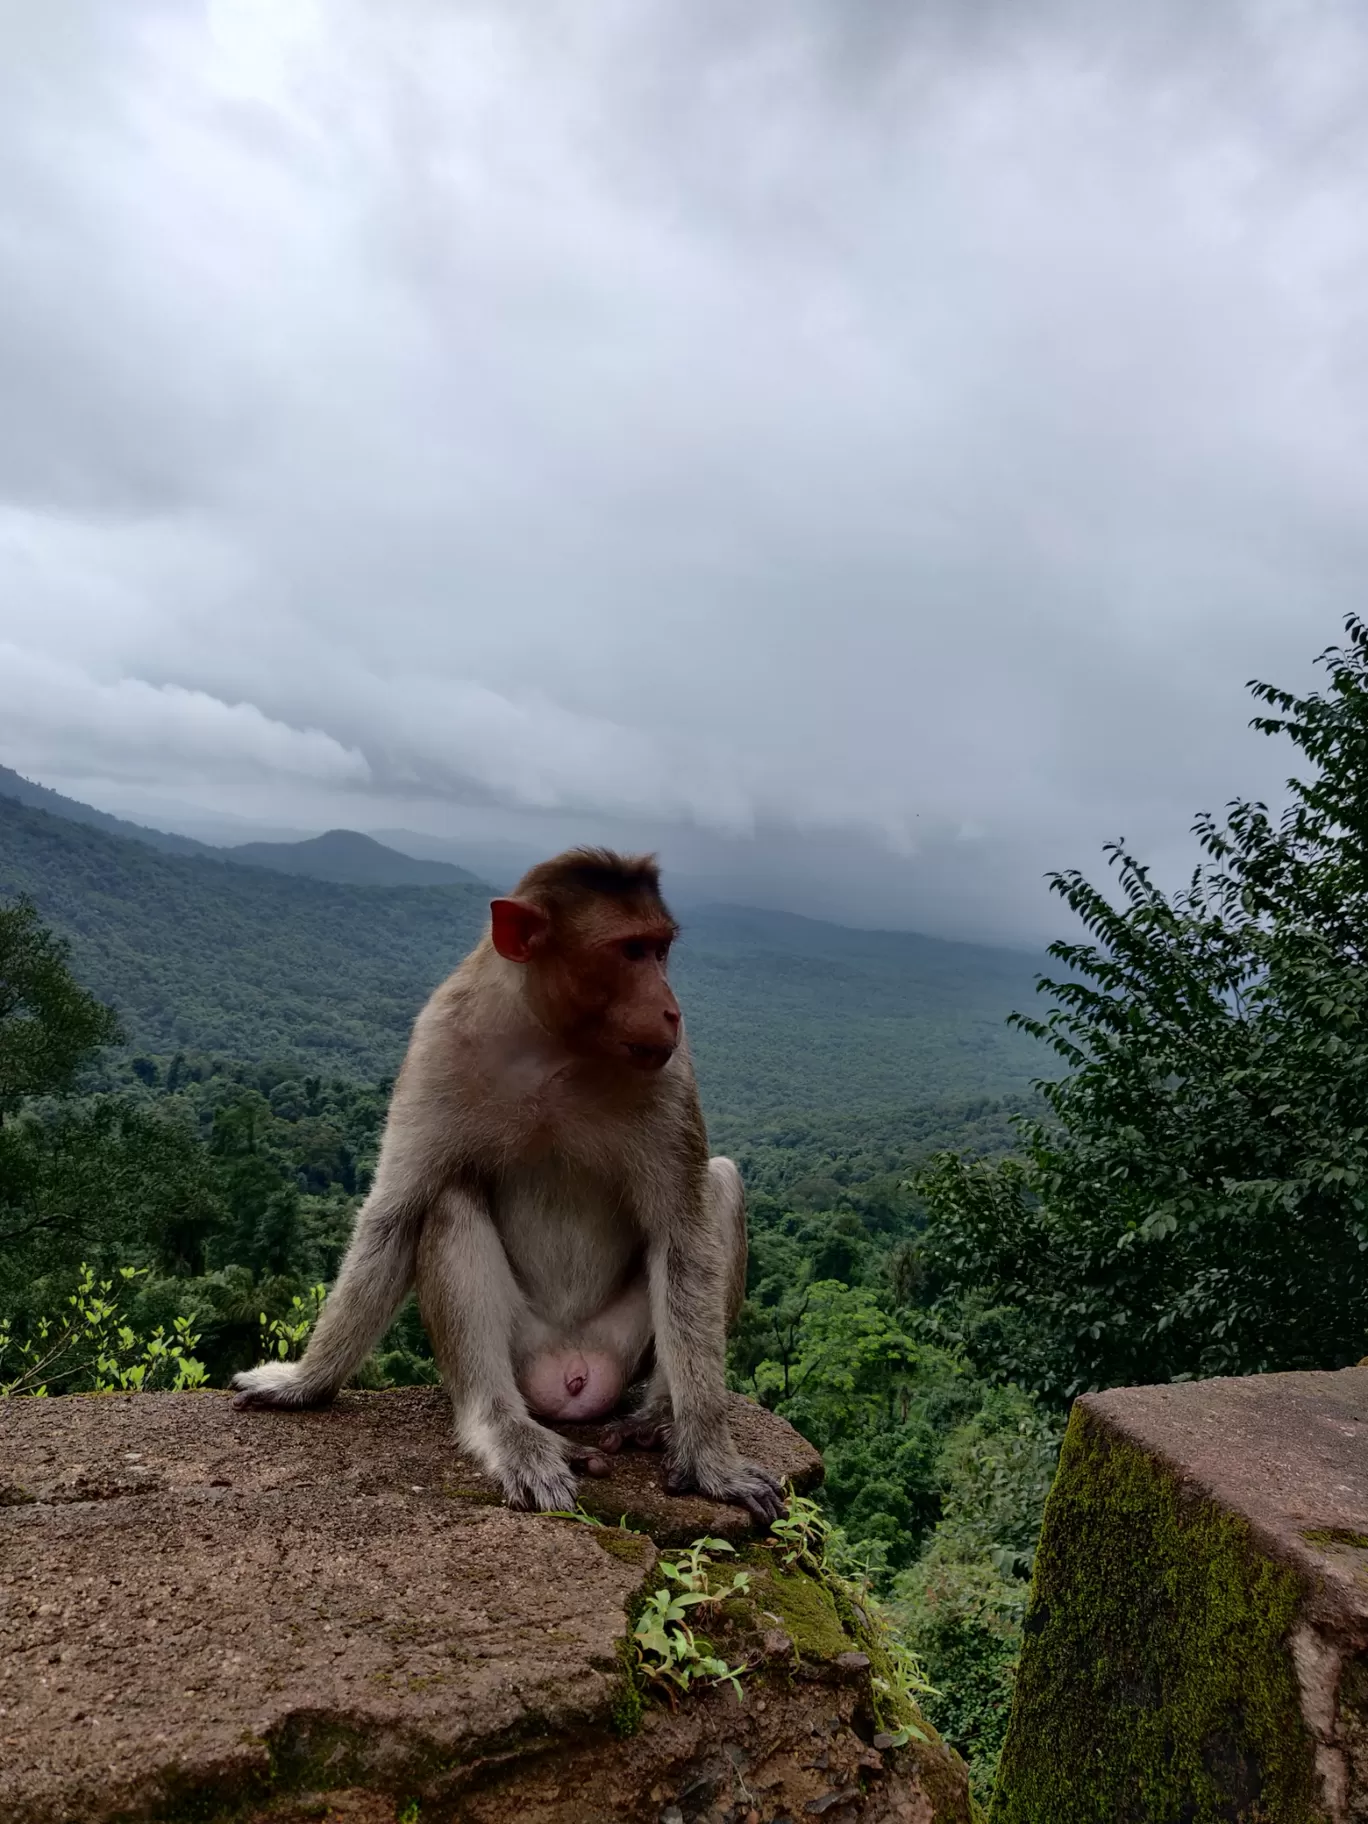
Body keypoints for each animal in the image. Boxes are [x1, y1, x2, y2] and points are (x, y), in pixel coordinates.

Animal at [233, 846, 780, 1517]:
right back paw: (505, 1428)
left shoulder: (671, 1075)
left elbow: (682, 1239)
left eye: (660, 949)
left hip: (621, 1344)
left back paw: (657, 1418)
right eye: (630, 951)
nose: (671, 1008)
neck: (553, 1047)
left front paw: (711, 1461)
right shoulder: (438, 1042)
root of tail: (573, 1374)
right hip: (522, 1350)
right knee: (446, 1202)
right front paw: (303, 1383)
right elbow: (395, 1214)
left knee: (718, 1186)